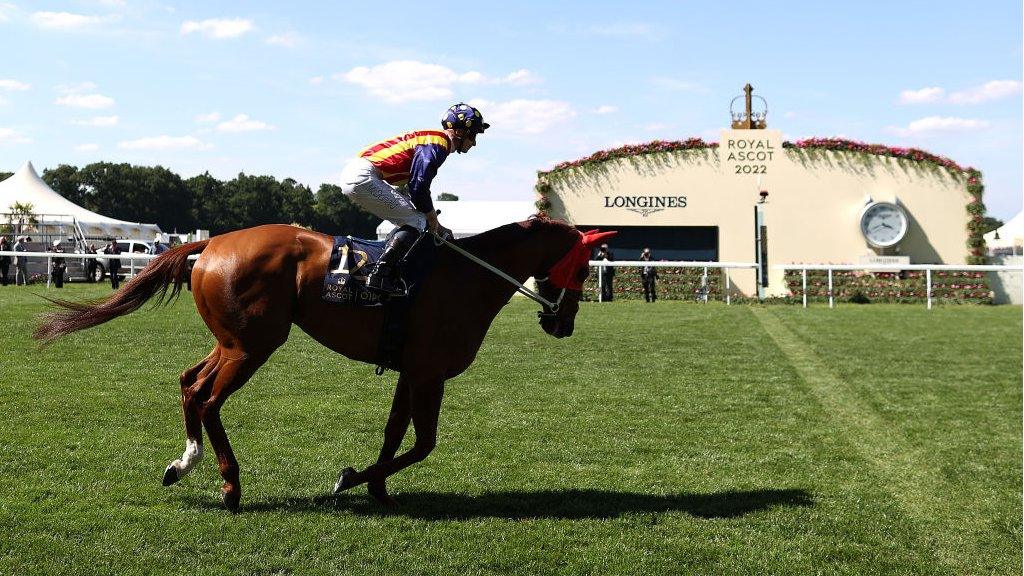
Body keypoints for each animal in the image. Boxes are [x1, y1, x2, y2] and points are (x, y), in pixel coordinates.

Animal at [36, 217, 614, 508]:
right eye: (587, 263)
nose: (564, 323)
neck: (470, 277)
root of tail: (214, 242)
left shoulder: (409, 371)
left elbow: (395, 432)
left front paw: (375, 485)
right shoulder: (429, 373)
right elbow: (424, 443)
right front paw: (350, 479)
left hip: (232, 341)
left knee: (189, 384)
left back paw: (184, 462)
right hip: (253, 347)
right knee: (208, 399)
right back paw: (230, 485)